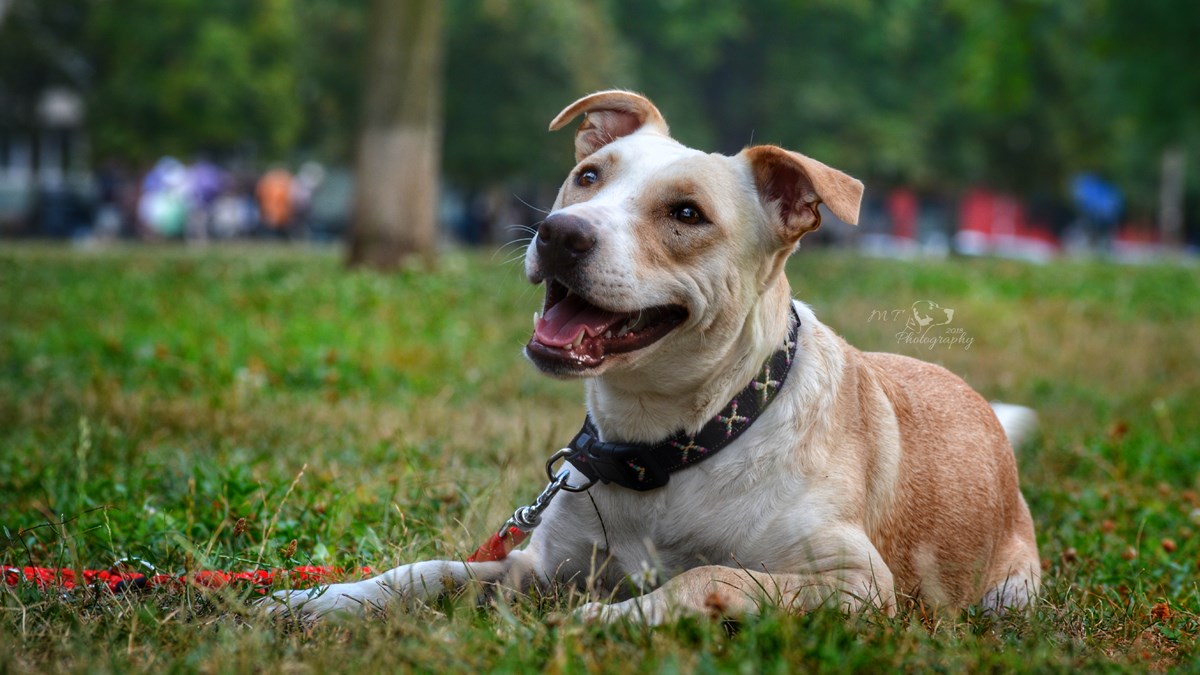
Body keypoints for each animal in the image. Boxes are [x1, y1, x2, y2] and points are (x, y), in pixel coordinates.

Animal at [267, 91, 1036, 624]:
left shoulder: (855, 583)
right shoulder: (539, 567)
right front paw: (322, 600)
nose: (559, 232)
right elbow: (430, 571)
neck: (665, 443)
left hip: (1012, 588)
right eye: (587, 176)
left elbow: (709, 575)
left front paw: (609, 620)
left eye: (687, 214)